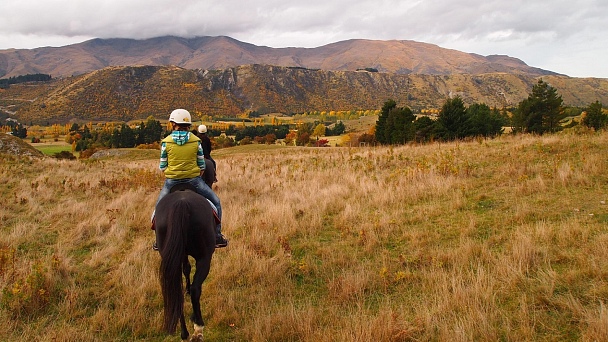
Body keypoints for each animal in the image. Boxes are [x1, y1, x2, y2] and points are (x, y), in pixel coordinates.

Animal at [154, 186, 216, 340]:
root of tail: (181, 204)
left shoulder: (180, 254)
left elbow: (186, 269)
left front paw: (186, 289)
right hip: (204, 258)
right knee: (196, 289)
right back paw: (198, 327)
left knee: (176, 293)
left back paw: (184, 333)